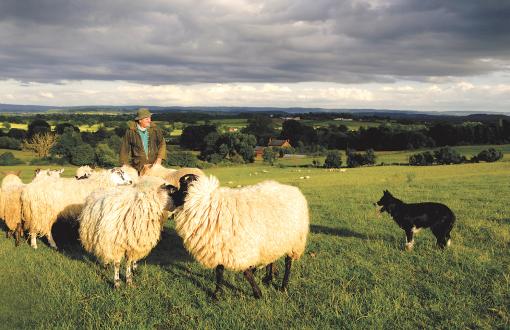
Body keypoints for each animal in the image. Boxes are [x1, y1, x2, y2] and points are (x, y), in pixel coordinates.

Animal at [169, 174, 308, 300]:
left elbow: (246, 273)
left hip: (295, 241)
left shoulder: (240, 249)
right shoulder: (220, 247)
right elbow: (219, 271)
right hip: (273, 239)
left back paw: (283, 286)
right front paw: (217, 294)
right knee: (271, 258)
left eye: (183, 185)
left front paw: (258, 293)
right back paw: (268, 278)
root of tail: (293, 189)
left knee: (288, 263)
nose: (171, 197)